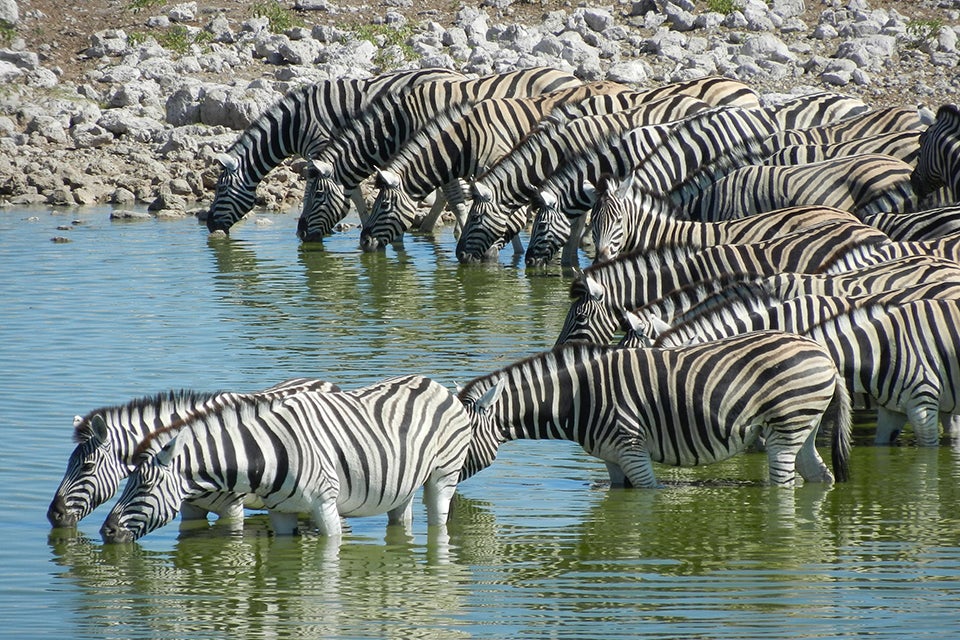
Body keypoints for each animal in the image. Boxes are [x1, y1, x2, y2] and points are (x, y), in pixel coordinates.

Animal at [99, 375, 473, 542]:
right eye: (125, 481)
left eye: (145, 486)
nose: (106, 531)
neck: (264, 454)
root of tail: (435, 383)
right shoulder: (280, 513)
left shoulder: (325, 505)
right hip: (402, 485)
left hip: (443, 477)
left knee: (439, 521)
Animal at [203, 68, 465, 234]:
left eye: (221, 189)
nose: (210, 226)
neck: (295, 124)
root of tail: (458, 75)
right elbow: (351, 191)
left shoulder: (320, 149)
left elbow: (327, 191)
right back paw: (428, 227)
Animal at [294, 67, 582, 242]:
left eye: (317, 194)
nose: (301, 233)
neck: (400, 122)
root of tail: (573, 77)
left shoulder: (442, 152)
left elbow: (452, 196)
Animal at [457, 334, 852, 488]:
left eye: (461, 439)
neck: (577, 397)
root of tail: (824, 355)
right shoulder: (613, 459)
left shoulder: (632, 451)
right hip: (803, 427)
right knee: (820, 476)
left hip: (786, 427)